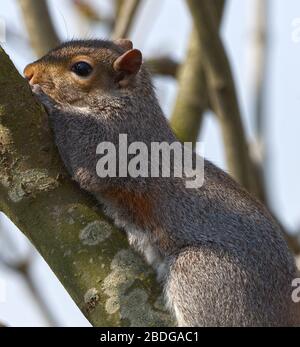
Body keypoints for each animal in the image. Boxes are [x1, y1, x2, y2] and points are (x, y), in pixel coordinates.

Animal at [24, 39, 300, 328]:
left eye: (81, 68)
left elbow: (84, 149)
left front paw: (45, 99)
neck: (130, 105)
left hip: (206, 274)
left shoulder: (116, 144)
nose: (28, 72)